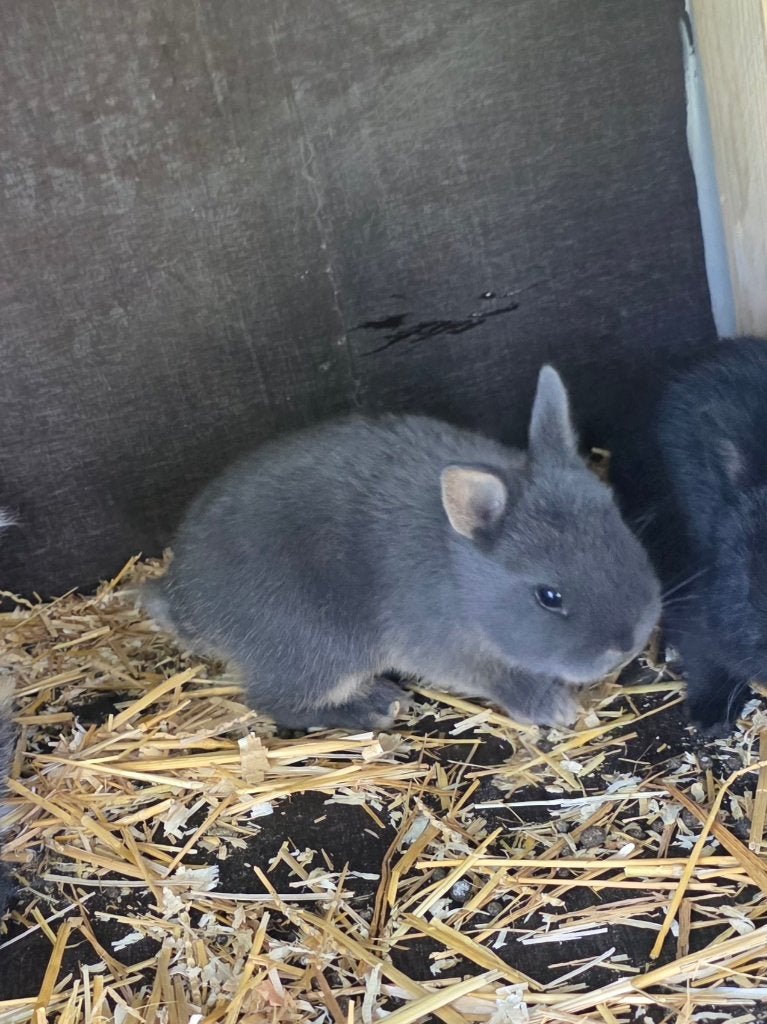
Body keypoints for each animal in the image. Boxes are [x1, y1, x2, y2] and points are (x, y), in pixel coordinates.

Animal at [141, 366, 661, 732]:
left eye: (621, 529)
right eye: (548, 597)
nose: (627, 644)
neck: (462, 578)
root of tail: (181, 603)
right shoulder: (447, 647)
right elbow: (501, 678)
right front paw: (552, 707)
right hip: (324, 649)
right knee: (273, 702)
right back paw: (373, 708)